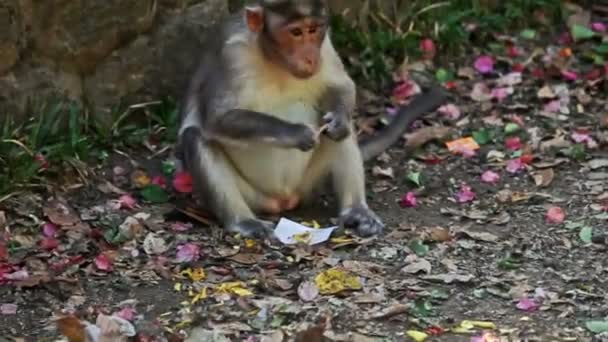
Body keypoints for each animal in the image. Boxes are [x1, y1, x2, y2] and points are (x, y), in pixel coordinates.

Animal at [173, 0, 448, 240]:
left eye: (313, 30)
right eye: (296, 32)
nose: (311, 58)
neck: (272, 58)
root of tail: (283, 200)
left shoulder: (325, 45)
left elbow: (342, 87)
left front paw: (337, 121)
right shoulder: (232, 54)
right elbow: (218, 119)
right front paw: (296, 133)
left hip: (308, 183)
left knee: (343, 134)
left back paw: (356, 210)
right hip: (254, 196)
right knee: (195, 137)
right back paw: (242, 221)